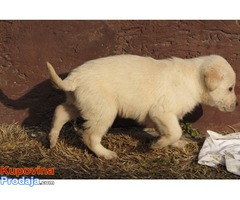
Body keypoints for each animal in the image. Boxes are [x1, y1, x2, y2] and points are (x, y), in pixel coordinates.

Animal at [46, 54, 237, 159]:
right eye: (230, 88)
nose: (236, 104)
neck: (194, 79)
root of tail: (74, 77)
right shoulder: (162, 112)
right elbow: (176, 131)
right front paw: (158, 145)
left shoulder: (162, 117)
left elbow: (170, 132)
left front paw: (170, 143)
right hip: (103, 111)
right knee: (89, 136)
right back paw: (105, 154)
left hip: (82, 104)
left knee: (60, 111)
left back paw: (52, 140)